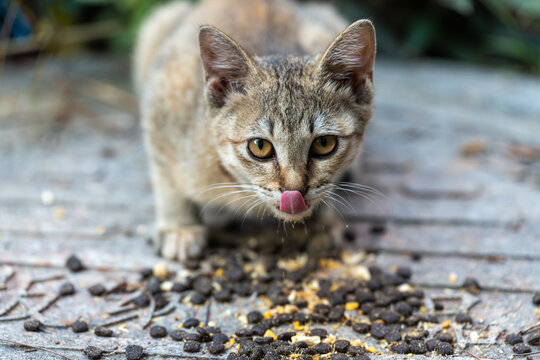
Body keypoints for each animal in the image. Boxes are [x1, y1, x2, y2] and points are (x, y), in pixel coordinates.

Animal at [135, 0, 376, 260]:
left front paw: (319, 224)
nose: (295, 191)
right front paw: (179, 227)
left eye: (324, 144)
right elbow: (167, 183)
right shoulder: (162, 104)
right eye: (259, 146)